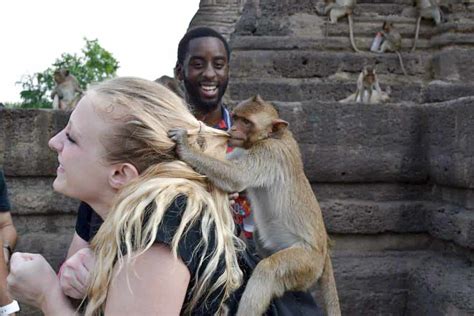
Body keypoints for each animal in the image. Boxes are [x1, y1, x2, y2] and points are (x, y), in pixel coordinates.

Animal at [169, 95, 340, 316]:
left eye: (246, 122)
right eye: (236, 118)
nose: (232, 129)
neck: (270, 137)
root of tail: (324, 252)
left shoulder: (270, 153)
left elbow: (237, 177)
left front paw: (186, 146)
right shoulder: (243, 149)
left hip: (307, 264)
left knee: (269, 270)